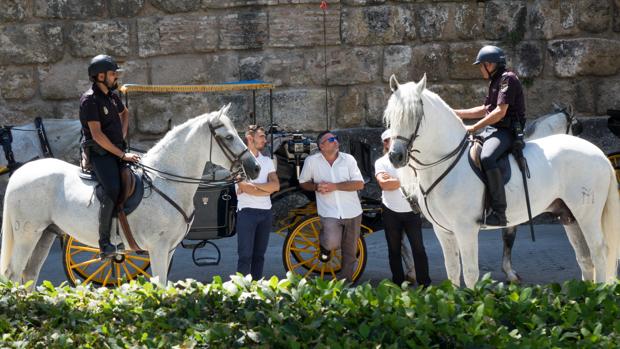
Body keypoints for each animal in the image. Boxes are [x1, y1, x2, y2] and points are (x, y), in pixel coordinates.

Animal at [0, 105, 260, 286]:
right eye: (229, 137)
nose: (255, 167)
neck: (165, 180)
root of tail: (22, 172)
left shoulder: (169, 249)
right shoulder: (158, 247)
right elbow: (160, 286)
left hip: (45, 233)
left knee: (28, 275)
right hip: (27, 234)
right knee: (13, 274)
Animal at [386, 75, 620, 286]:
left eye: (415, 115)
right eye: (390, 116)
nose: (395, 156)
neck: (446, 162)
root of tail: (597, 152)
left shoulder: (466, 229)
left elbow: (471, 273)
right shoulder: (443, 231)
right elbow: (452, 273)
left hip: (587, 215)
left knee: (599, 252)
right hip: (569, 216)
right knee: (585, 259)